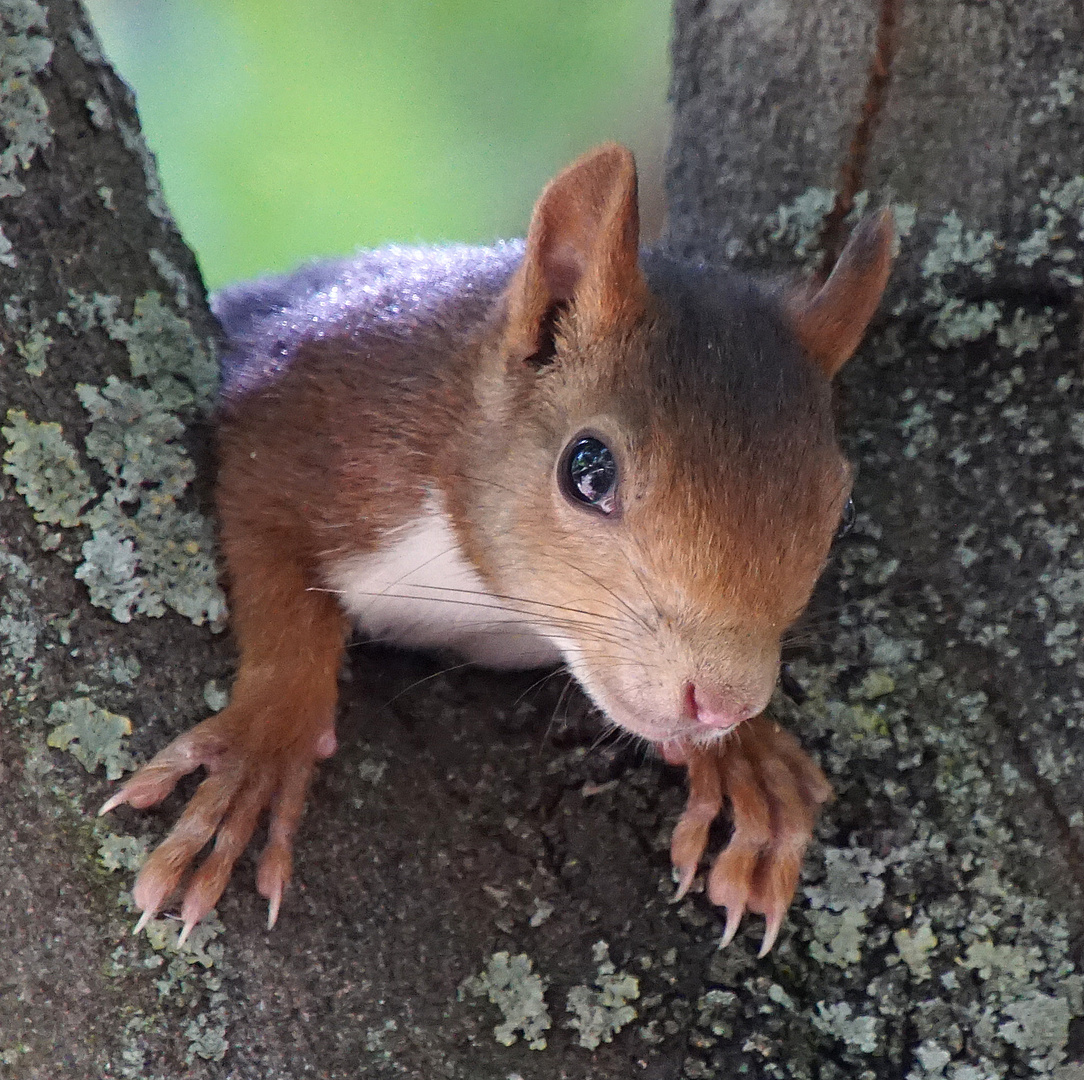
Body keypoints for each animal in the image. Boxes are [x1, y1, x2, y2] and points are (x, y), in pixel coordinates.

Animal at [99, 140, 888, 954]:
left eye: (843, 506)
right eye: (588, 469)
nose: (724, 702)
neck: (485, 594)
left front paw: (744, 758)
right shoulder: (306, 417)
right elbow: (272, 562)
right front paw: (263, 746)